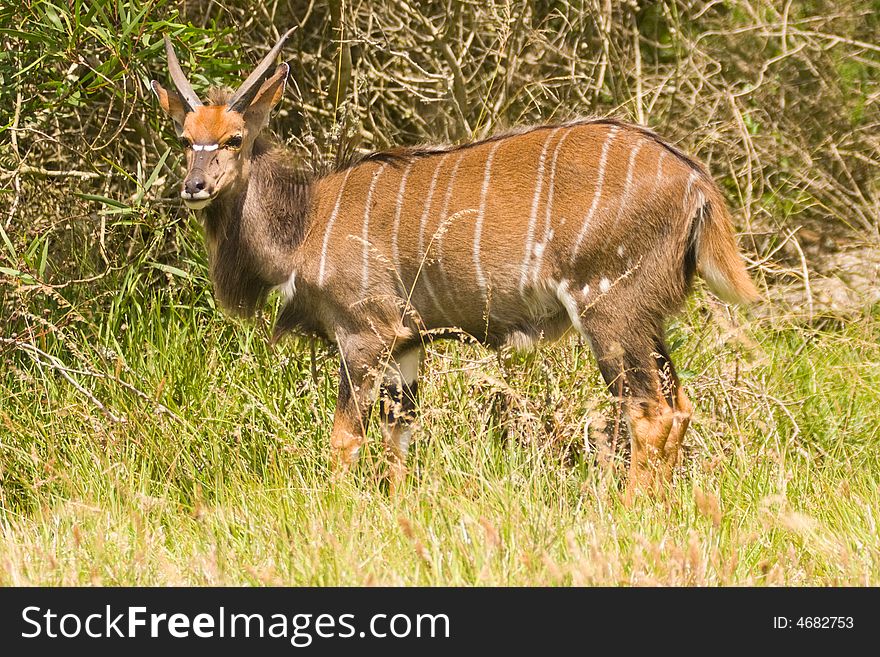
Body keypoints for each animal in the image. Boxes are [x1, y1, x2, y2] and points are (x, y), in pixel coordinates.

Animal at [151, 28, 756, 494]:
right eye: (184, 138)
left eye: (233, 138)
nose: (194, 186)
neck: (304, 222)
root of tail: (696, 182)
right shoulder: (406, 342)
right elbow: (399, 434)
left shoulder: (364, 334)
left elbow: (346, 438)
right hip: (645, 317)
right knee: (679, 406)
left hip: (609, 311)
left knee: (649, 414)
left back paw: (629, 510)